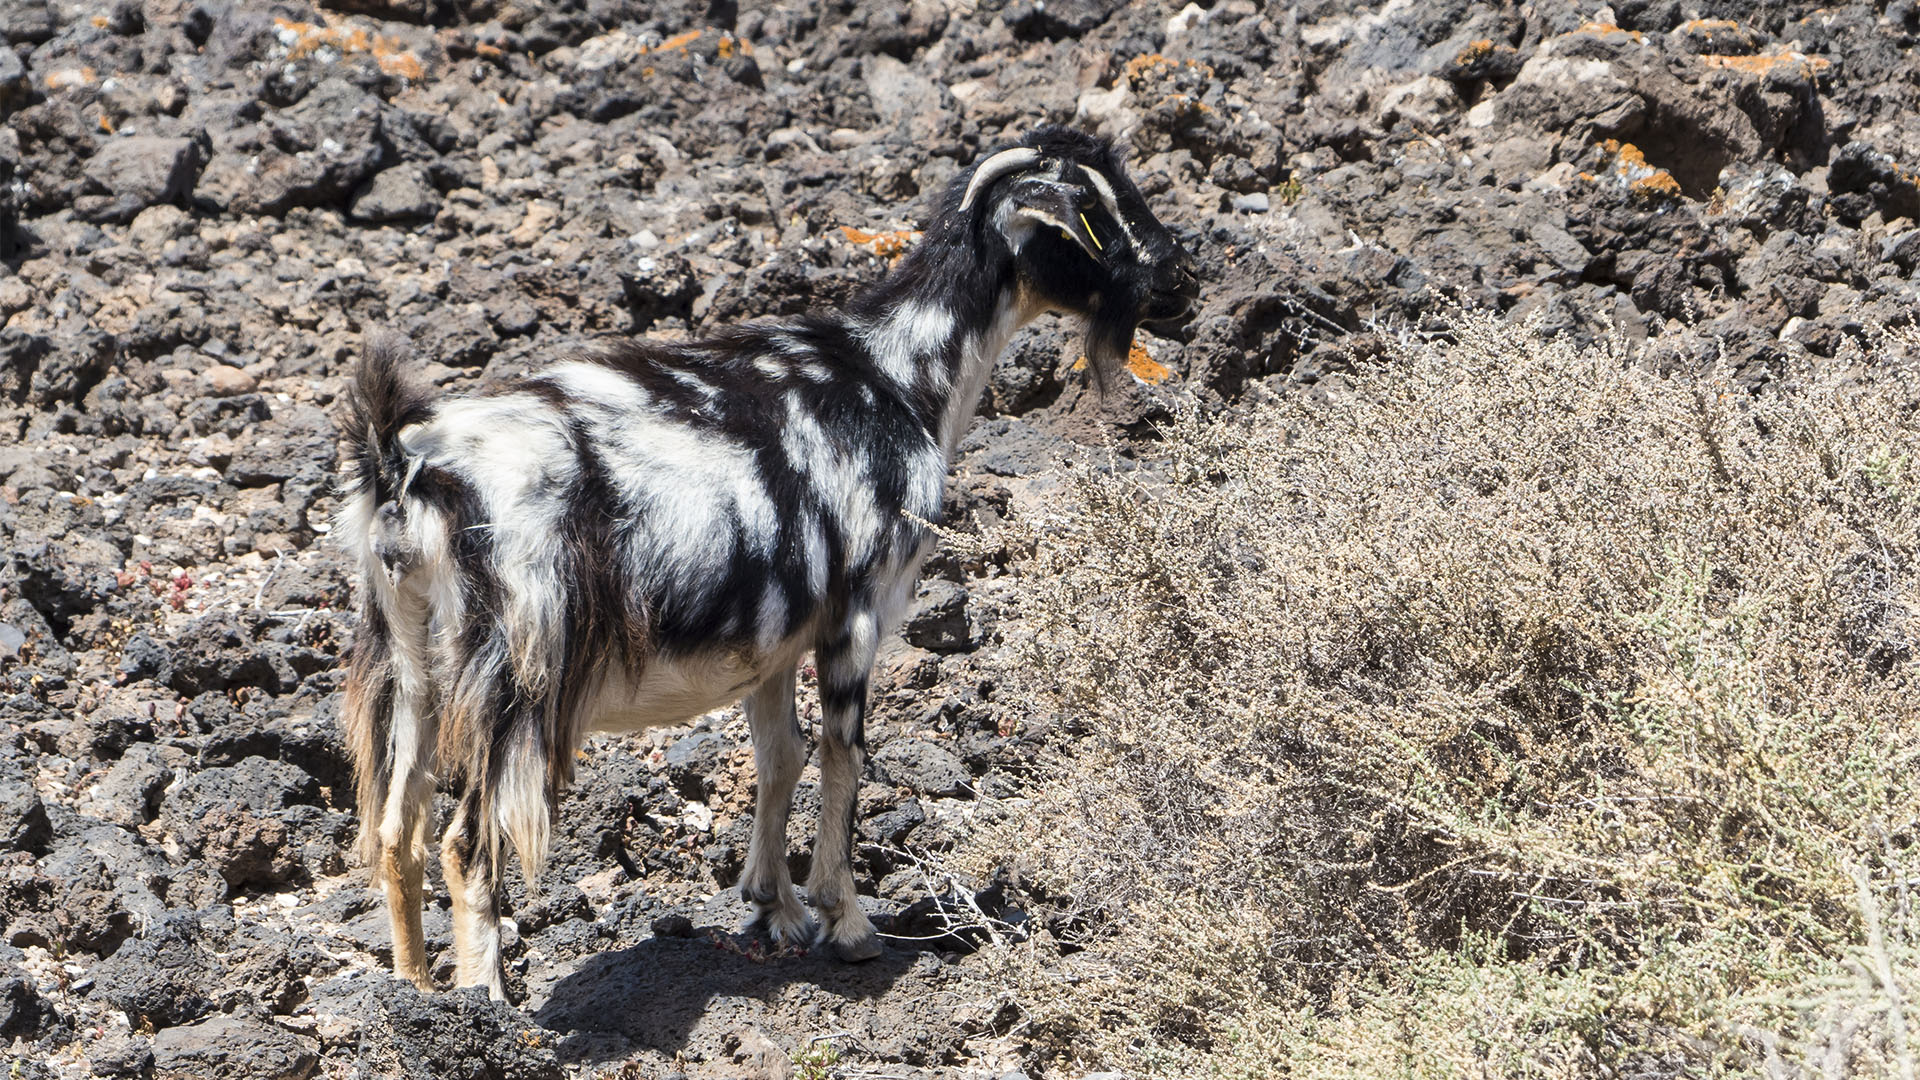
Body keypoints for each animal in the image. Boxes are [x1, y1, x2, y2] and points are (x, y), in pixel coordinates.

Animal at [337, 123, 1190, 991]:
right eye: (1092, 210)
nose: (1180, 278)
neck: (900, 375)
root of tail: (406, 464)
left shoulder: (774, 640)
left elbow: (781, 758)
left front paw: (774, 906)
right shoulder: (856, 612)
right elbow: (844, 758)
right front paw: (847, 923)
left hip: (409, 664)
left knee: (398, 832)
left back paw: (412, 989)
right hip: (515, 673)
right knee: (466, 841)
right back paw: (484, 998)